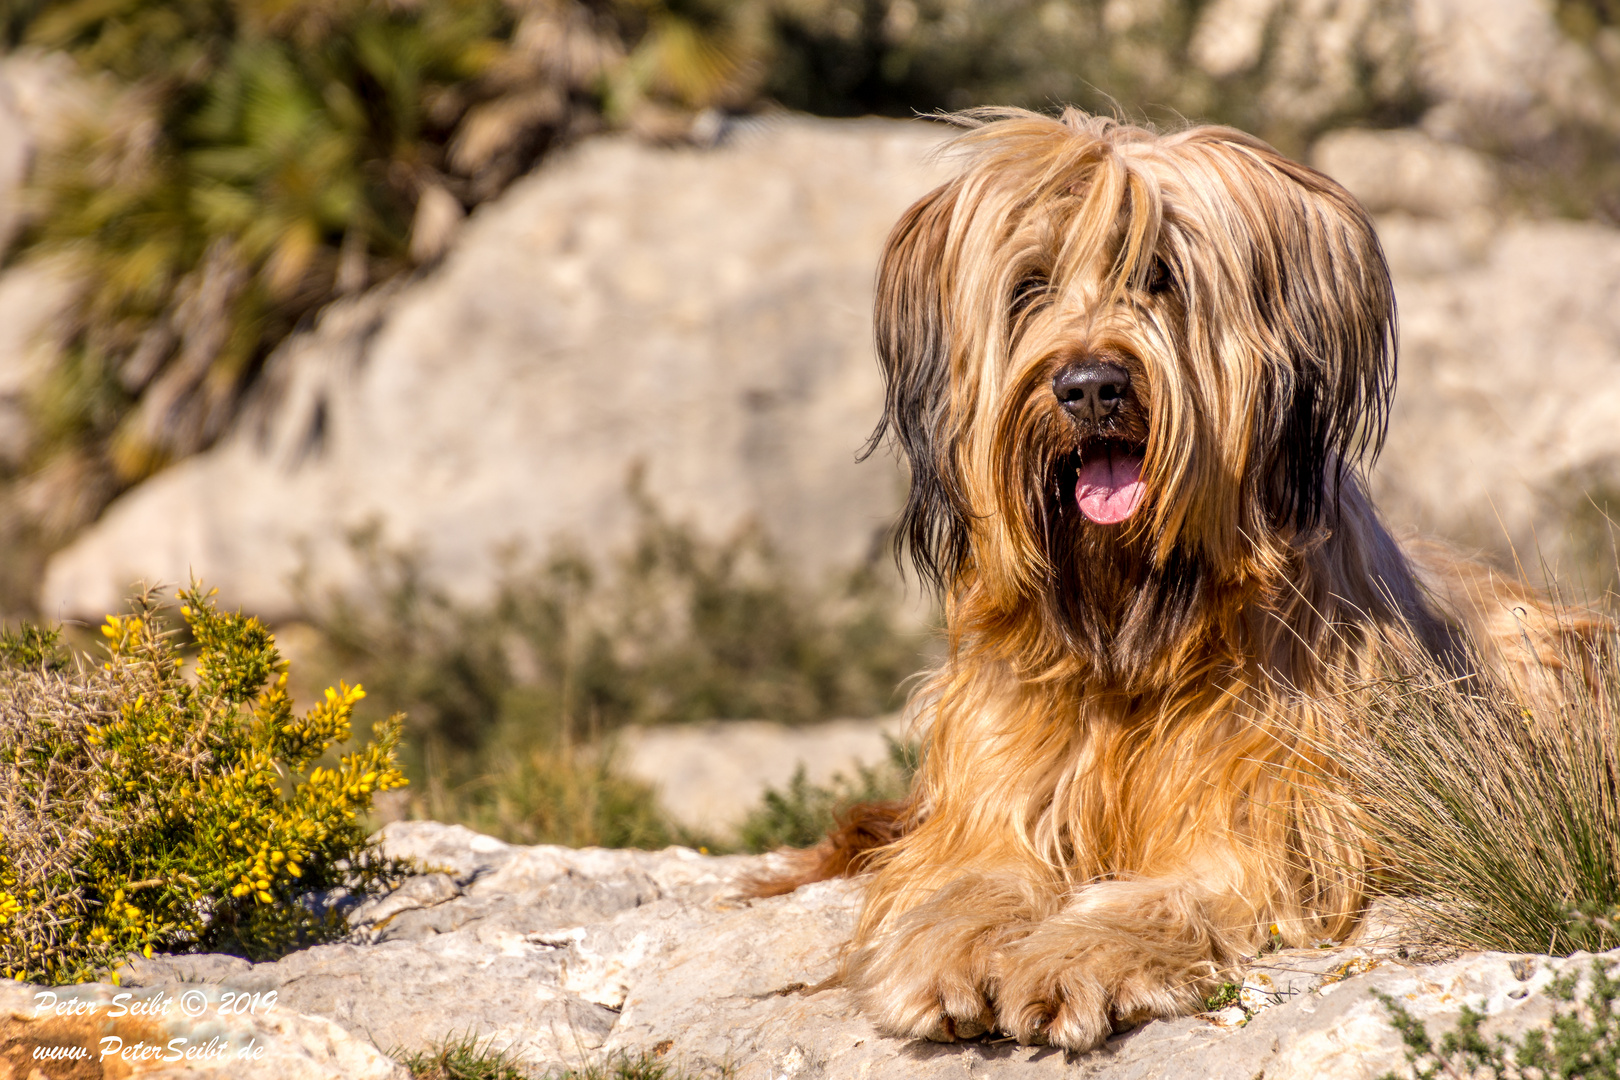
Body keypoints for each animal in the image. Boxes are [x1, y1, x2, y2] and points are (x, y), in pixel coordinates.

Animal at [764, 111, 1587, 1055]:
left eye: (1160, 278)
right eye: (1030, 286)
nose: (1090, 386)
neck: (1132, 627)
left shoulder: (1277, 820)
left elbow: (1177, 888)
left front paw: (1069, 960)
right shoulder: (994, 787)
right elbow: (972, 872)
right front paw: (949, 954)